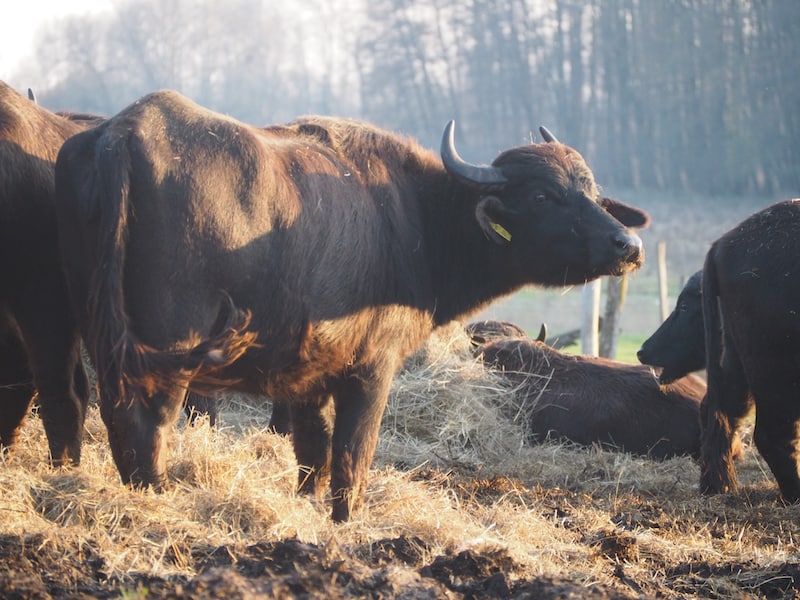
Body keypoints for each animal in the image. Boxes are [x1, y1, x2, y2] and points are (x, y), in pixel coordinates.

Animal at [53, 90, 648, 520]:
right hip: (168, 348)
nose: (628, 245)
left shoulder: (309, 376)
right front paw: (347, 519)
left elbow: (312, 454)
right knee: (146, 420)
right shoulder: (371, 368)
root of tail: (123, 137)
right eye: (543, 196)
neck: (414, 219)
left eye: (592, 191)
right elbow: (353, 455)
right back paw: (154, 498)